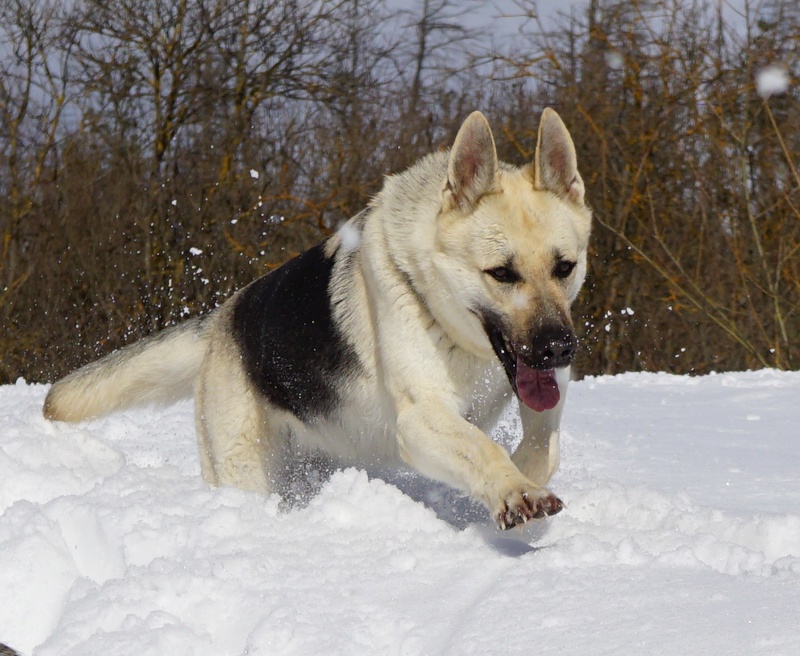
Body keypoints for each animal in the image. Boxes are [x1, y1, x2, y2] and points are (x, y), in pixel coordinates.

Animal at [45, 107, 592, 528]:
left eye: (565, 268)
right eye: (501, 274)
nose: (558, 347)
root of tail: (222, 319)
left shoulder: (544, 388)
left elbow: (544, 446)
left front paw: (525, 475)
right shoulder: (422, 418)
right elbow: (482, 449)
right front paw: (514, 489)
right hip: (245, 468)